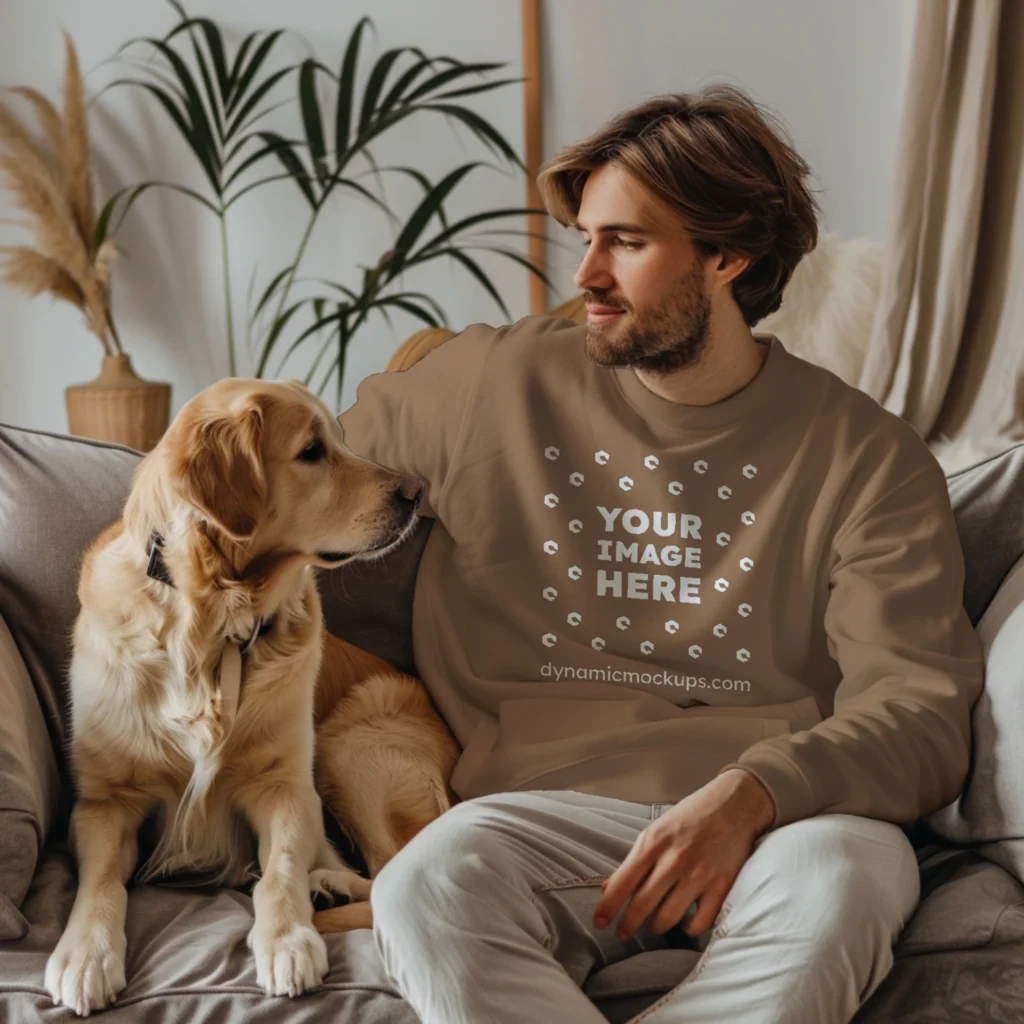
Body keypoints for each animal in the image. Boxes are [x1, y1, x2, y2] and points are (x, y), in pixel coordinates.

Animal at [47, 378, 456, 1015]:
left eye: (342, 439)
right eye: (312, 451)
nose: (417, 493)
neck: (212, 624)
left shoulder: (286, 787)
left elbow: (280, 870)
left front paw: (287, 939)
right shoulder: (104, 802)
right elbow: (102, 882)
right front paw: (86, 954)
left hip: (347, 748)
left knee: (390, 874)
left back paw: (328, 890)